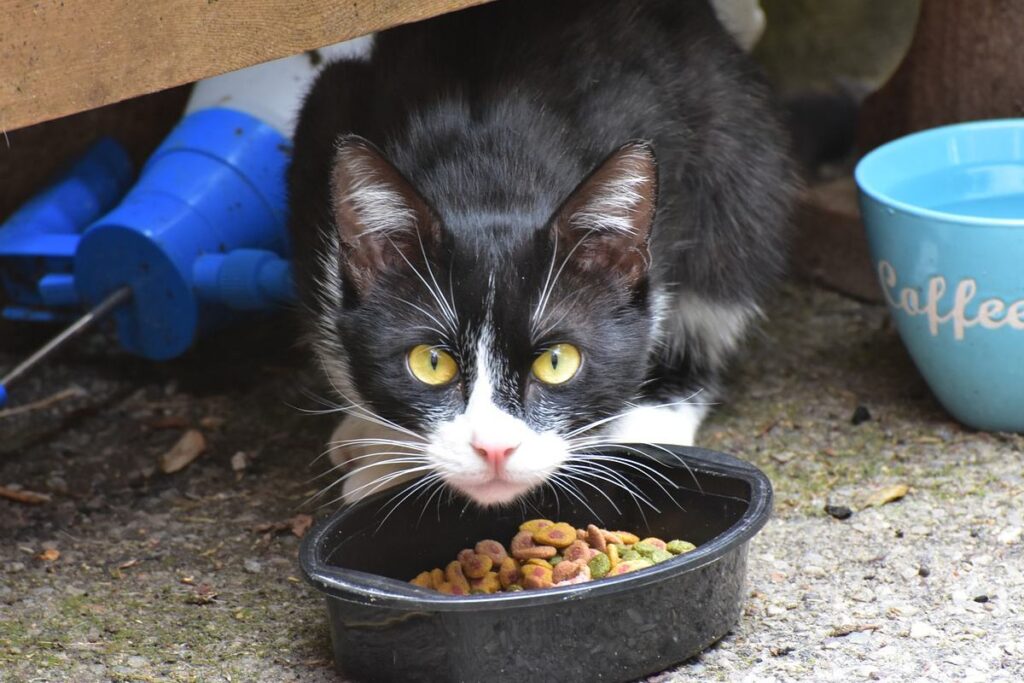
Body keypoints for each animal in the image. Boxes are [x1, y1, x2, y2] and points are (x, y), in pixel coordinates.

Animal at [284, 0, 794, 507]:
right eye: (431, 362)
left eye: (557, 362)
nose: (494, 447)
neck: (489, 179)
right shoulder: (324, 121)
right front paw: (387, 459)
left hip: (737, 142)